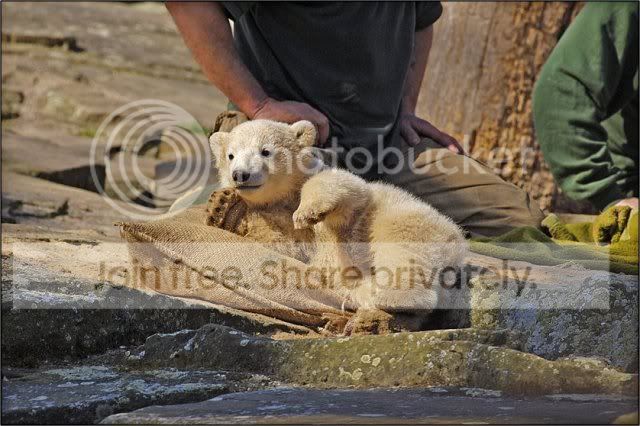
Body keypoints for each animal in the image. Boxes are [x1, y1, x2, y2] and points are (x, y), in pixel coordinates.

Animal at [207, 119, 467, 333]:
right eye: (230, 155)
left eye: (265, 151)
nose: (240, 175)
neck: (281, 199)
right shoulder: (272, 220)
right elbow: (283, 244)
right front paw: (222, 208)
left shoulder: (349, 200)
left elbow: (342, 186)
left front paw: (306, 213)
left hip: (408, 220)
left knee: (401, 250)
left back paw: (389, 300)